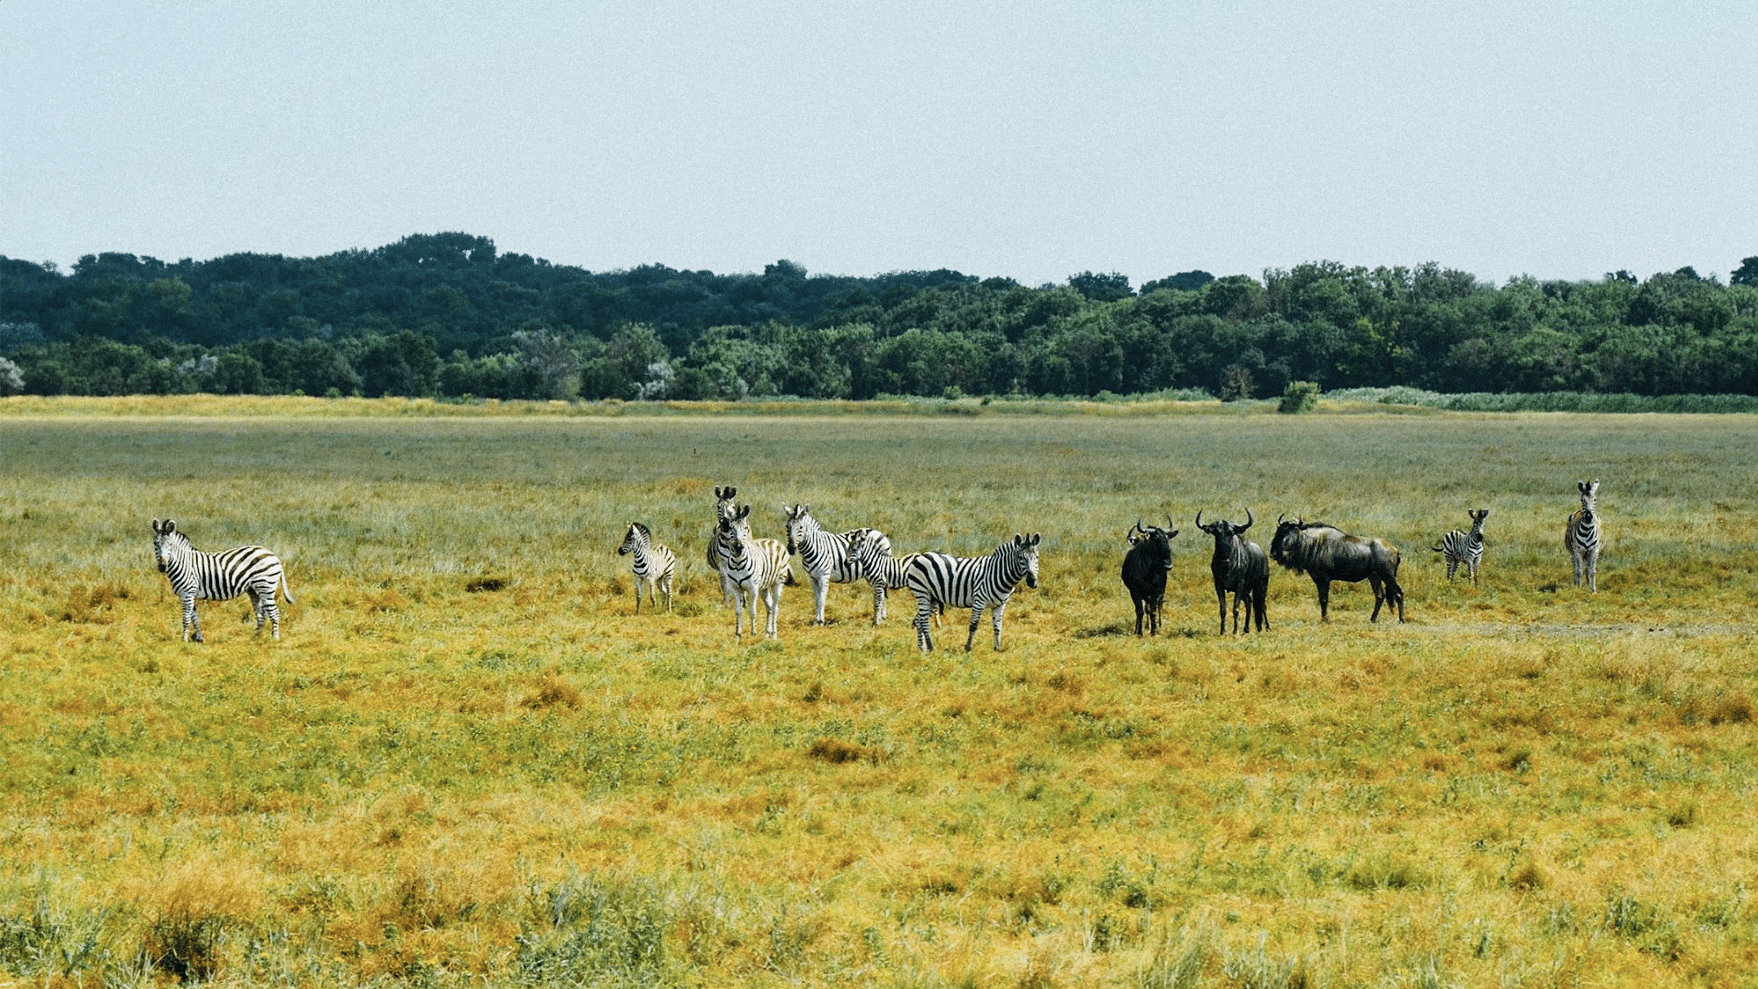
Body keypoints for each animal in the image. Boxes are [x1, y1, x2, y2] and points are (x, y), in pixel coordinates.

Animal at [150, 518, 295, 642]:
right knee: (261, 614)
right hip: (254, 590)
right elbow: (195, 617)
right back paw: (256, 638)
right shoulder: (190, 594)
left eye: (170, 545)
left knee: (274, 613)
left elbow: (186, 618)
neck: (184, 563)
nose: (162, 566)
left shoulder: (187, 593)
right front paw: (199, 639)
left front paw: (184, 640)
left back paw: (275, 639)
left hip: (266, 587)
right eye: (155, 543)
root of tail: (273, 555)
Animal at [716, 503, 793, 640]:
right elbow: (738, 611)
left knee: (775, 608)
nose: (739, 547)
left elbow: (752, 611)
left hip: (778, 582)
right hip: (763, 587)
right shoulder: (735, 588)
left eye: (745, 528)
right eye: (730, 528)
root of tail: (773, 540)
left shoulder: (753, 589)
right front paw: (738, 634)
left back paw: (774, 634)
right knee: (769, 607)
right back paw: (767, 632)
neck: (737, 563)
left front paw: (753, 633)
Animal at [904, 532, 1041, 652]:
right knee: (924, 621)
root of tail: (921, 556)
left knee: (919, 620)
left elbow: (998, 626)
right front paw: (968, 648)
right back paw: (931, 648)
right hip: (922, 592)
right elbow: (973, 625)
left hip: (932, 597)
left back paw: (922, 648)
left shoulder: (1000, 604)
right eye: (1020, 558)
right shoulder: (979, 601)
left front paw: (997, 648)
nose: (1032, 581)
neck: (998, 572)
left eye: (1037, 557)